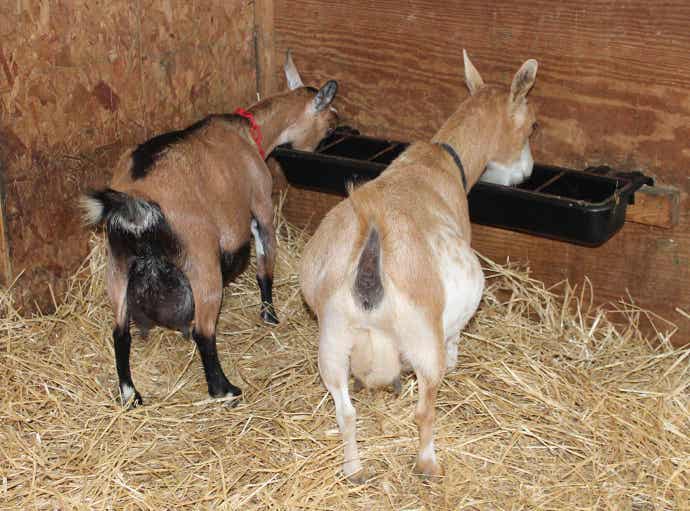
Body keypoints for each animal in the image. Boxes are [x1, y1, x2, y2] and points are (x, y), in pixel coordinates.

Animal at [82, 52, 338, 410]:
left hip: (117, 265)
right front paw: (270, 317)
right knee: (204, 332)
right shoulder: (260, 206)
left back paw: (130, 394)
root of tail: (137, 201)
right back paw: (224, 390)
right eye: (330, 124)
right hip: (201, 260)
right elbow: (265, 268)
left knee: (120, 332)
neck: (249, 132)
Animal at [298, 50, 536, 482]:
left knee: (346, 412)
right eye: (531, 126)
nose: (525, 172)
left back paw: (354, 468)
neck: (442, 160)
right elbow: (456, 340)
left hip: (332, 340)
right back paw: (427, 464)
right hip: (424, 341)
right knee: (425, 411)